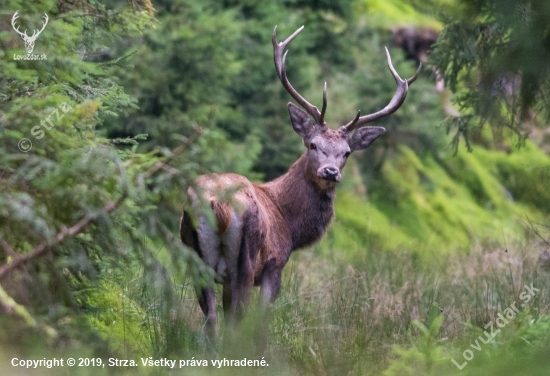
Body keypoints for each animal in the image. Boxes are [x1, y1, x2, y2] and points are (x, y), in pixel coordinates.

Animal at [181, 25, 422, 340]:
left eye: (346, 152)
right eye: (312, 144)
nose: (330, 172)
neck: (290, 225)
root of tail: (219, 205)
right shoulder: (274, 264)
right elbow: (260, 325)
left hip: (195, 256)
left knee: (210, 320)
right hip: (245, 258)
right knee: (235, 322)